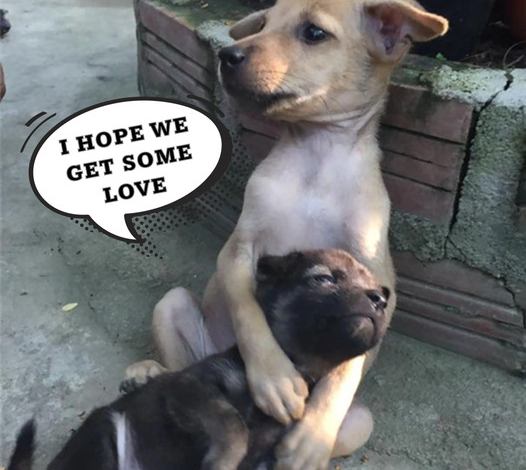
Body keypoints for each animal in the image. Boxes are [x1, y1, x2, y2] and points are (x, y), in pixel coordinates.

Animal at [7, 250, 388, 470]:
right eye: (323, 278)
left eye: (381, 294)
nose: (380, 300)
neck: (301, 364)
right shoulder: (190, 387)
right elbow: (232, 425)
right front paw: (222, 460)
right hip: (106, 437)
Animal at [128, 1, 450, 468]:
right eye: (262, 24)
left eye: (314, 33)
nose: (227, 55)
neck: (316, 153)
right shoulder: (238, 251)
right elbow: (247, 309)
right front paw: (275, 379)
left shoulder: (378, 283)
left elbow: (346, 368)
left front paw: (311, 437)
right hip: (171, 307)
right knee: (179, 371)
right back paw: (150, 374)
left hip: (360, 423)